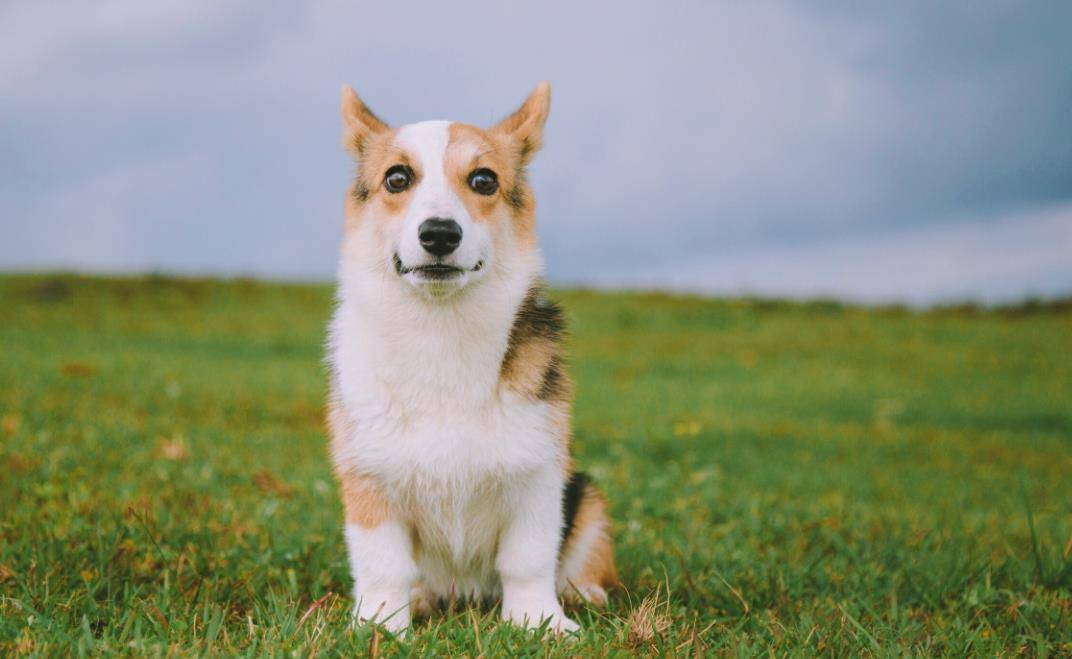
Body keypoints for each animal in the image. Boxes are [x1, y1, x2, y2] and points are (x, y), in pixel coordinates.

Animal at [321, 82, 617, 634]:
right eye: (397, 178)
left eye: (483, 180)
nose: (439, 233)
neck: (441, 330)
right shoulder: (368, 480)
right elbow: (383, 565)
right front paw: (380, 626)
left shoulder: (538, 475)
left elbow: (528, 559)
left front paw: (540, 622)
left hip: (586, 496)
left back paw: (582, 592)